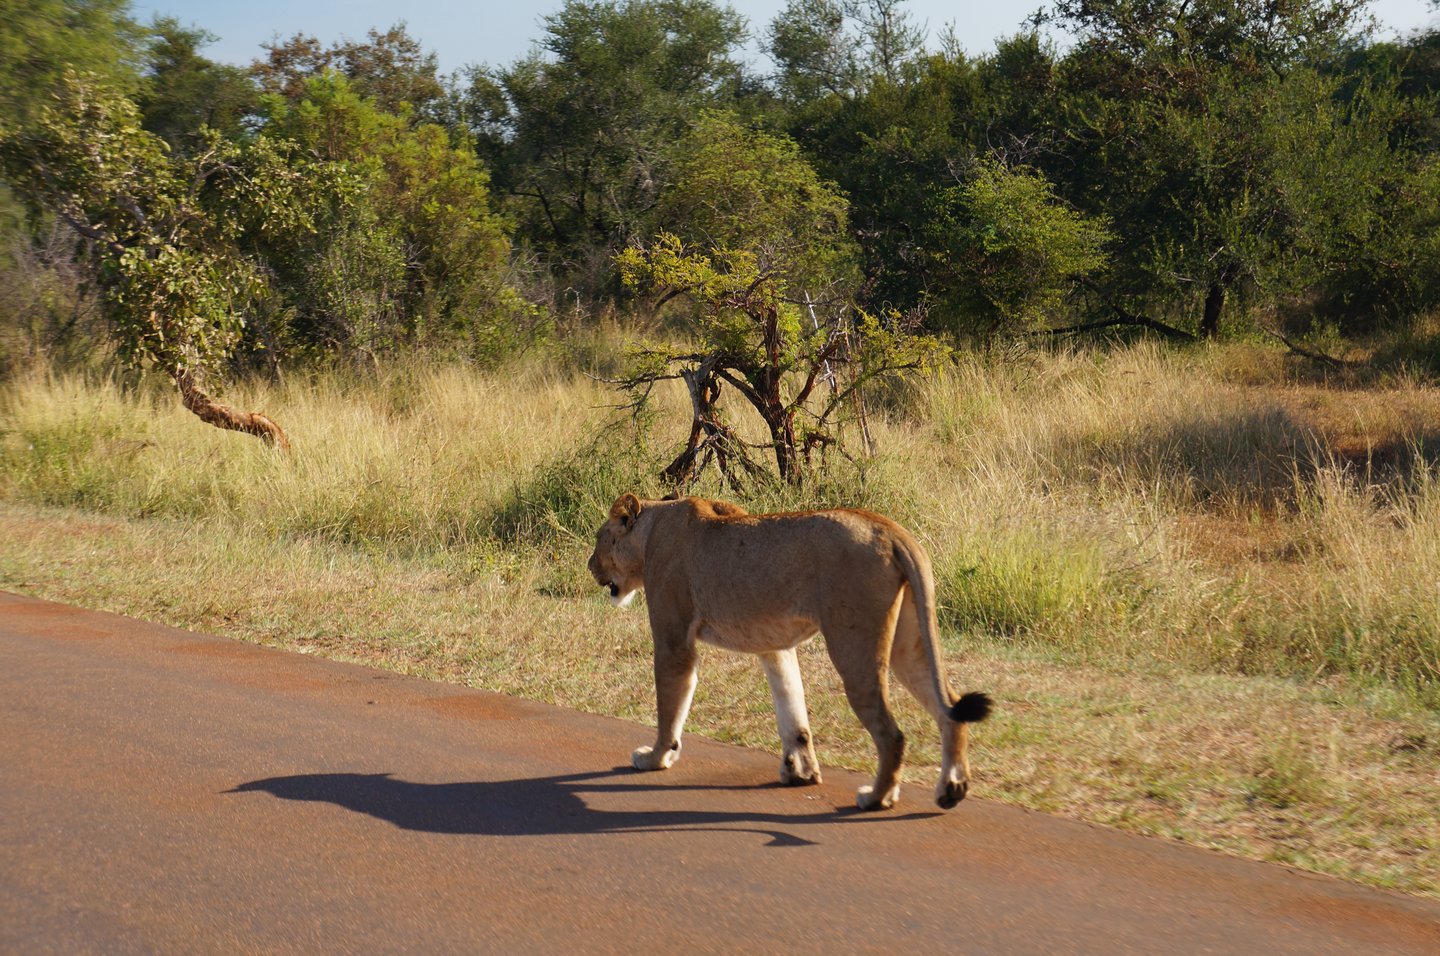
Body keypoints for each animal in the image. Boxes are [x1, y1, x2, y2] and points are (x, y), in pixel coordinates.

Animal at [588, 492, 992, 811]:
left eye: (599, 538)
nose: (590, 567)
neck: (651, 530)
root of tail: (889, 528)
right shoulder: (775, 646)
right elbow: (790, 704)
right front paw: (801, 771)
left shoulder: (674, 640)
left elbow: (670, 706)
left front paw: (656, 757)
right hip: (908, 644)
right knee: (949, 708)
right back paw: (952, 789)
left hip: (854, 646)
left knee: (892, 733)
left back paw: (877, 797)